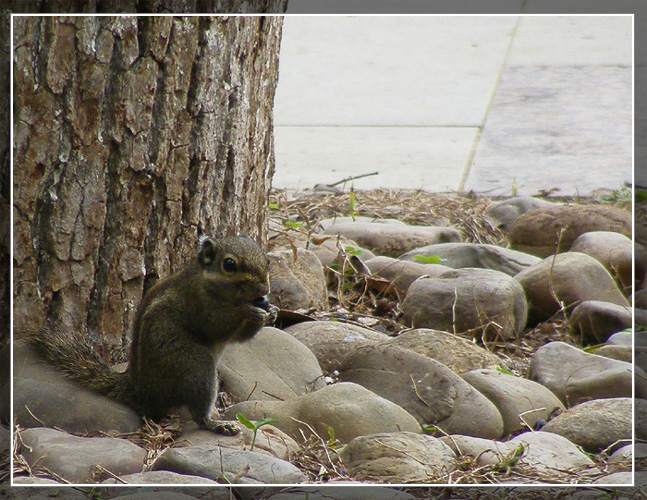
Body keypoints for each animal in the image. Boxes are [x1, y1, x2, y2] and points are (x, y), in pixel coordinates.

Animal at [26, 234, 276, 434]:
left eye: (267, 260)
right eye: (229, 264)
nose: (264, 290)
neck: (209, 282)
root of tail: (141, 387)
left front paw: (271, 312)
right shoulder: (197, 303)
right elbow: (216, 324)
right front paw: (250, 311)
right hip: (193, 364)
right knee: (199, 412)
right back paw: (217, 424)